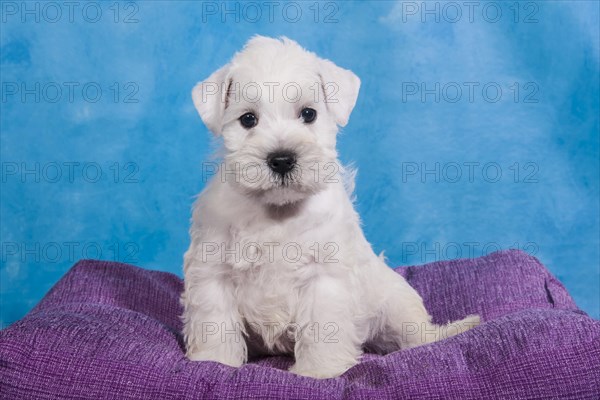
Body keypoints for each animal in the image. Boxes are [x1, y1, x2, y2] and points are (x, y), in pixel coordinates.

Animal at [180, 36, 480, 378]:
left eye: (309, 114)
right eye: (248, 119)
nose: (281, 159)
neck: (277, 212)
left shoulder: (323, 277)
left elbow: (321, 328)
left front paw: (318, 372)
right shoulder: (213, 273)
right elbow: (214, 325)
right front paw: (214, 362)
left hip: (398, 309)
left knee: (420, 337)